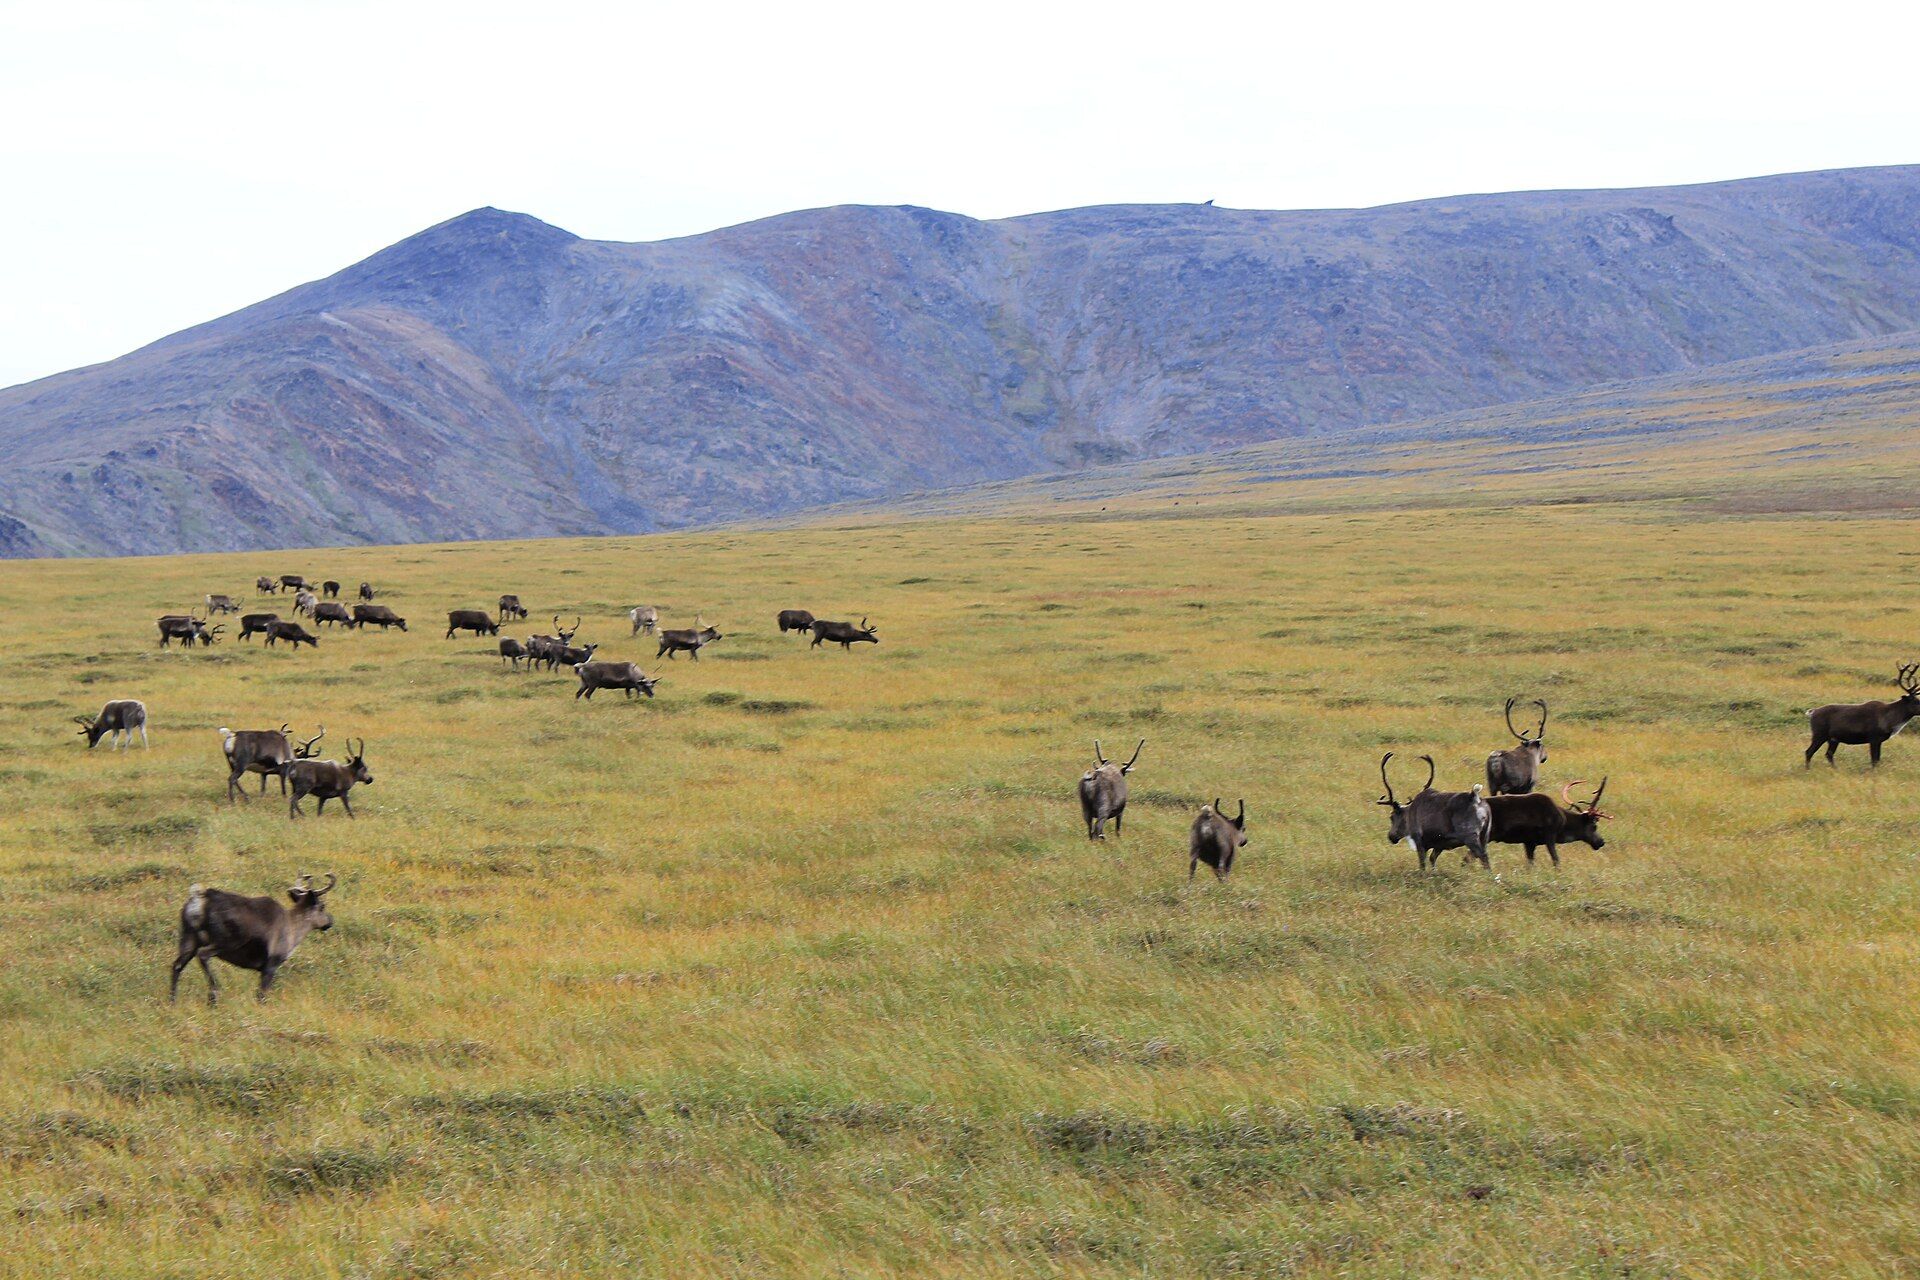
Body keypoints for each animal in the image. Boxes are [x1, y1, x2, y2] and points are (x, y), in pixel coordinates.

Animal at [169, 873, 335, 1004]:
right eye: (322, 906)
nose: (330, 921)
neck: (294, 930)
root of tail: (198, 899)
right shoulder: (271, 964)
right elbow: (261, 994)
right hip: (226, 941)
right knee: (203, 955)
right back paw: (214, 994)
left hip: (189, 938)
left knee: (177, 965)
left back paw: (173, 1001)